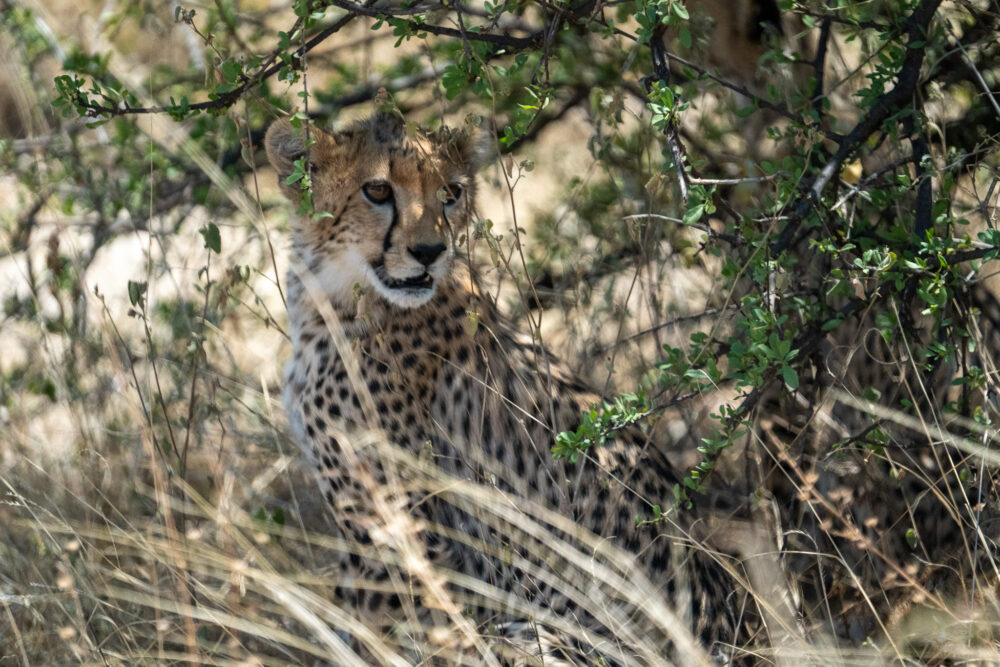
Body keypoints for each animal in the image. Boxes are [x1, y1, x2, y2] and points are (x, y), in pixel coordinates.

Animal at [264, 111, 752, 664]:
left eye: (451, 193)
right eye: (377, 189)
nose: (429, 252)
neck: (338, 295)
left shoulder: (400, 531)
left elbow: (370, 633)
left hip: (533, 633)